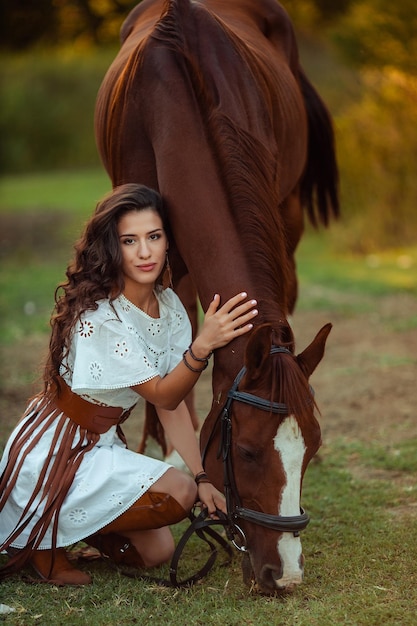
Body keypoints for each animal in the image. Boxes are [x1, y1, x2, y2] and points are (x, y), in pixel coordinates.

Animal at [95, 0, 338, 588]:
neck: (170, 95)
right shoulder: (153, 252)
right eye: (246, 452)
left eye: (313, 449)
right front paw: (176, 460)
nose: (285, 574)